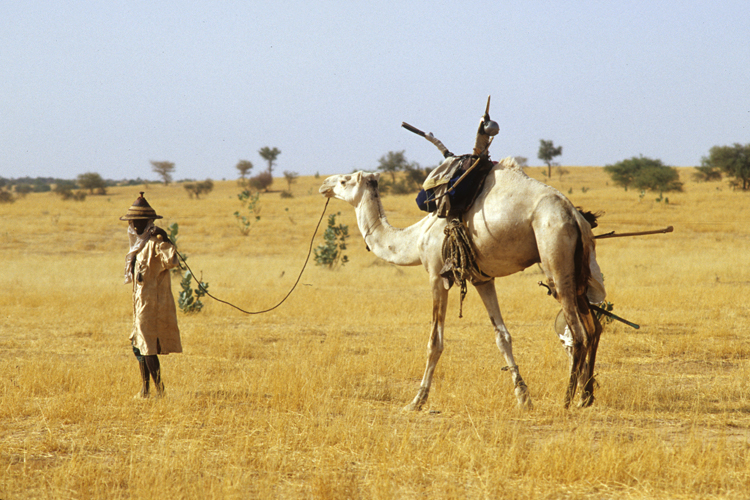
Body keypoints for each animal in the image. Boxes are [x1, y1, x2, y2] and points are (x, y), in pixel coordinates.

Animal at [320, 157, 608, 410]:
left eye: (344, 180)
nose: (324, 184)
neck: (416, 238)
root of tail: (575, 216)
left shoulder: (437, 275)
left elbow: (435, 342)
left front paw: (416, 401)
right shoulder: (482, 278)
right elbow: (502, 336)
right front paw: (523, 399)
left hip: (555, 254)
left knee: (577, 333)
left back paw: (567, 400)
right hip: (578, 271)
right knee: (593, 329)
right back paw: (586, 397)